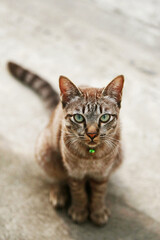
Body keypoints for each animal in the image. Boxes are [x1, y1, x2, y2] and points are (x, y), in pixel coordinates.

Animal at [8, 61, 124, 225]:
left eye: (105, 117)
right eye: (79, 118)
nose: (92, 134)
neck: (91, 156)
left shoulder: (103, 173)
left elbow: (99, 192)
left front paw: (98, 210)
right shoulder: (73, 172)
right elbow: (78, 192)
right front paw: (79, 210)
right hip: (45, 152)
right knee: (56, 177)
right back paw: (59, 193)